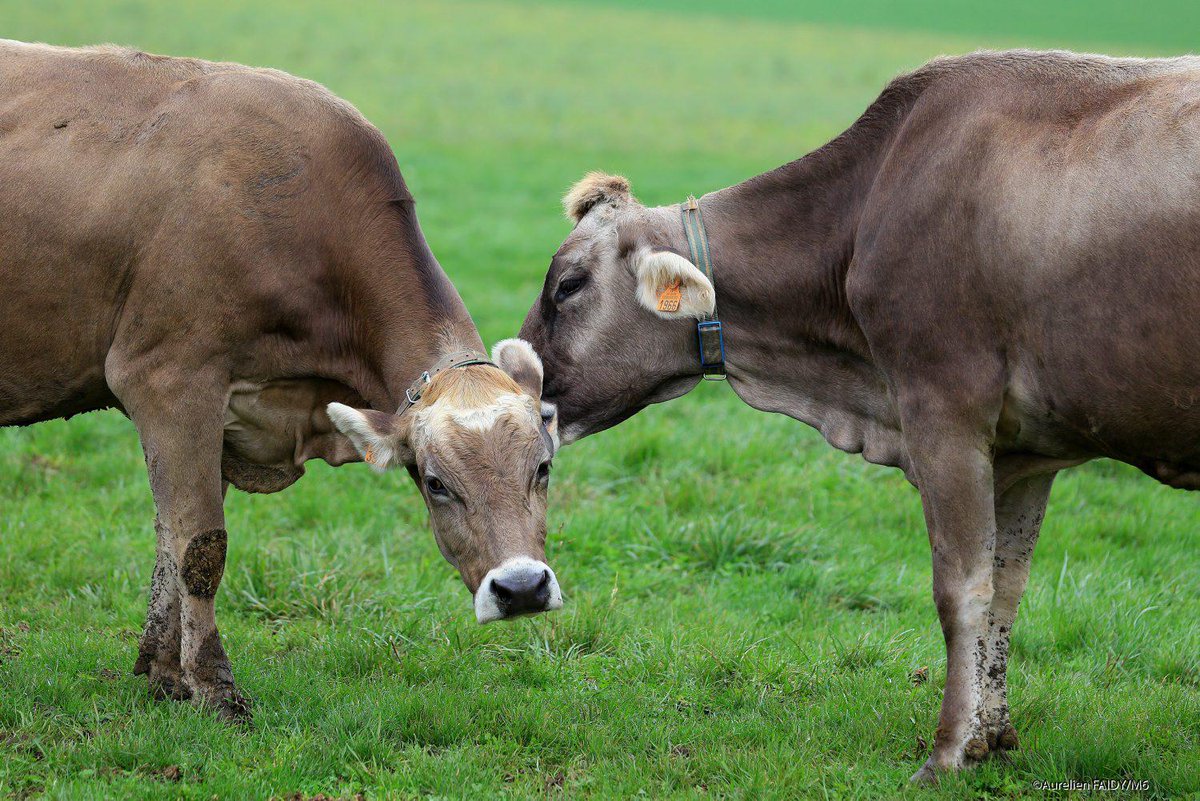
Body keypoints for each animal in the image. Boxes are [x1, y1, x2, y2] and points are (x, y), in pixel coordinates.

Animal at [520, 48, 1200, 777]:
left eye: (568, 285)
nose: (521, 389)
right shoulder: (1025, 452)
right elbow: (1005, 588)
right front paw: (990, 735)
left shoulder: (944, 411)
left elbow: (963, 589)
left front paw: (947, 753)